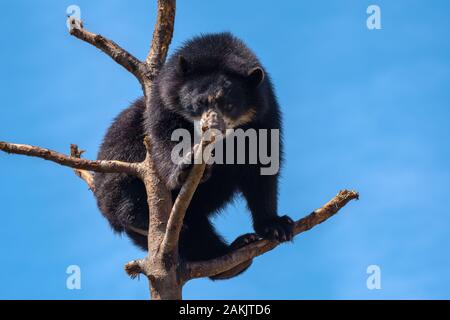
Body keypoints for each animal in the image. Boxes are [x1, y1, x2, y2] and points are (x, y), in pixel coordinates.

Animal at [93, 31, 294, 278]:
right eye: (198, 102)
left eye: (229, 105)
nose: (211, 127)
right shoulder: (163, 101)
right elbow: (163, 135)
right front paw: (185, 166)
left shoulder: (264, 116)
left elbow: (261, 167)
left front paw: (277, 226)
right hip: (120, 159)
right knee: (127, 191)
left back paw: (235, 253)